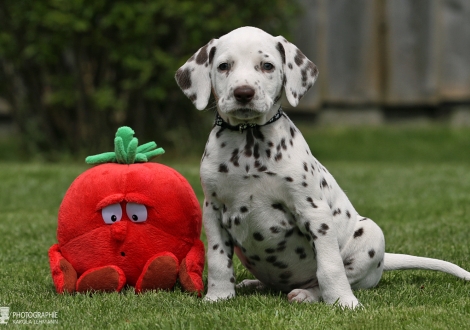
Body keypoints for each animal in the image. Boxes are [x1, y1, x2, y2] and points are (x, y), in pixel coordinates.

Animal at [176, 26, 470, 310]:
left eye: (267, 66)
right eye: (224, 66)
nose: (243, 93)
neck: (249, 144)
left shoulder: (313, 211)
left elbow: (329, 265)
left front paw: (343, 301)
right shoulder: (213, 211)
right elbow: (217, 258)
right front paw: (218, 296)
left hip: (371, 234)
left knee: (335, 275)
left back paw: (309, 294)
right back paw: (252, 284)